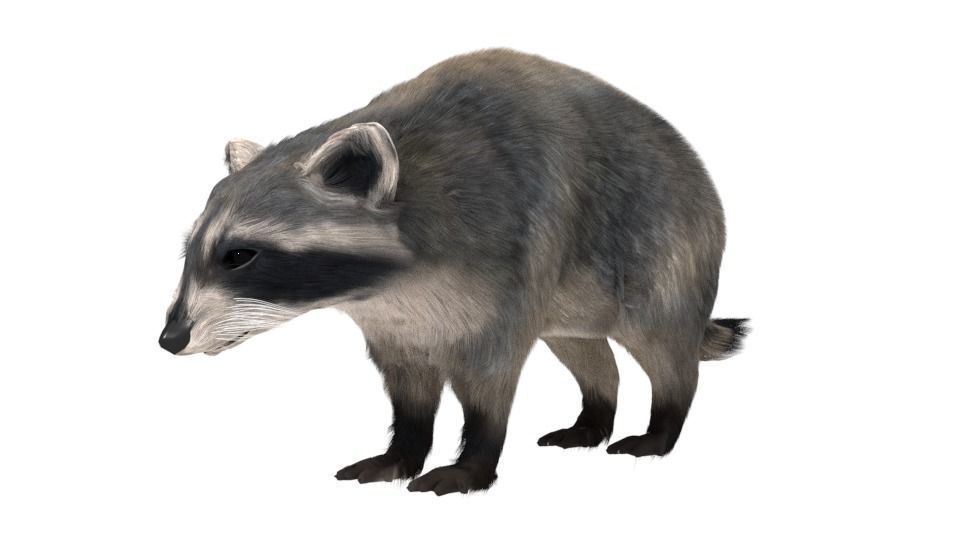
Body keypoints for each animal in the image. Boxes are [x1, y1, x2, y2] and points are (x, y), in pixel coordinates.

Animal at [159, 49, 749, 495]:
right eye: (190, 252)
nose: (170, 338)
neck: (381, 289)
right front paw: (402, 451)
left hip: (665, 248)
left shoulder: (509, 256)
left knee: (664, 347)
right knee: (586, 351)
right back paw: (595, 417)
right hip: (572, 301)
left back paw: (662, 425)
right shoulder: (395, 323)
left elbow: (490, 381)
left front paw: (473, 463)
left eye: (239, 255)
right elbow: (409, 388)